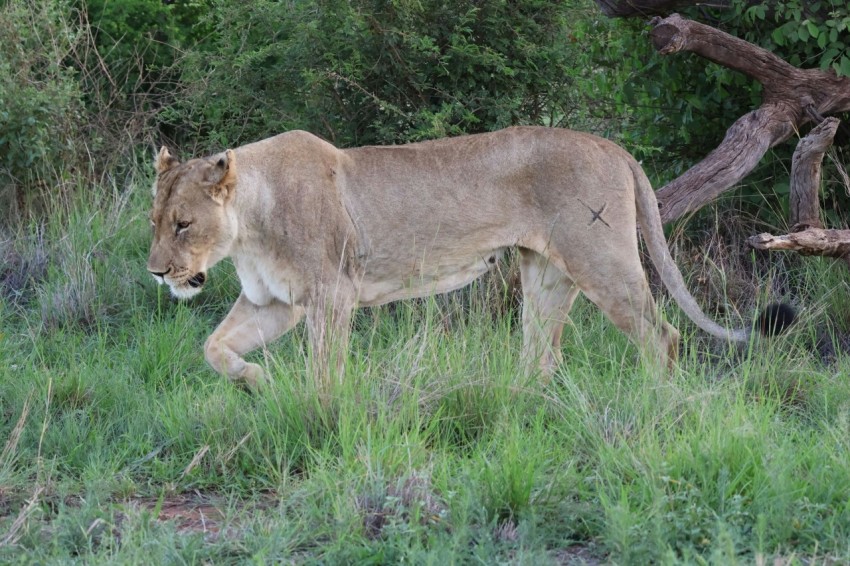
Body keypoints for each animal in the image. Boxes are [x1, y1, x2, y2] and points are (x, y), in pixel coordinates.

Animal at [147, 126, 791, 388]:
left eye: (183, 224)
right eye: (154, 222)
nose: (157, 272)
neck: (248, 225)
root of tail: (612, 145)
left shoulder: (331, 294)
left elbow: (326, 368)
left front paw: (320, 411)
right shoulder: (273, 302)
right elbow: (214, 348)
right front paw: (257, 380)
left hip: (600, 260)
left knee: (662, 336)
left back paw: (652, 405)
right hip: (546, 274)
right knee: (543, 354)